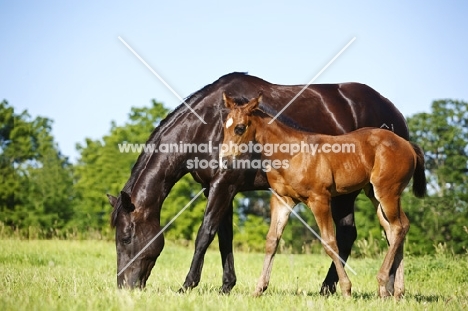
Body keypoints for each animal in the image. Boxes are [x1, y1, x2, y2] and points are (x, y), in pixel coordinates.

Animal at [221, 93, 426, 300]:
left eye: (240, 128)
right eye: (224, 127)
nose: (224, 159)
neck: (292, 153)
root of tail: (408, 145)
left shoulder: (320, 199)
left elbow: (330, 242)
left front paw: (346, 289)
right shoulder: (282, 200)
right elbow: (272, 240)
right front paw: (258, 289)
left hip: (387, 192)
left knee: (398, 227)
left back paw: (383, 282)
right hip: (375, 194)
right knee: (396, 228)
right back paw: (395, 292)